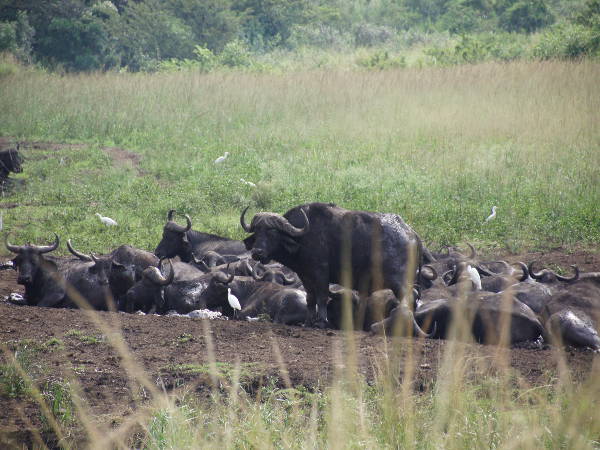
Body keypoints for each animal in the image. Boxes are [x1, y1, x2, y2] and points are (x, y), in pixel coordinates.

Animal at [241, 202, 434, 332]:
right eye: (257, 231)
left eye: (272, 232)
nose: (257, 252)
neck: (303, 238)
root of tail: (411, 233)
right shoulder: (306, 276)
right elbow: (310, 299)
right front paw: (308, 322)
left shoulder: (321, 274)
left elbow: (322, 297)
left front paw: (321, 322)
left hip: (398, 281)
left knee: (409, 298)